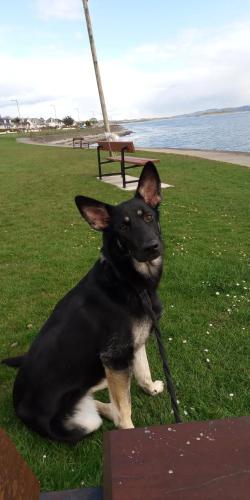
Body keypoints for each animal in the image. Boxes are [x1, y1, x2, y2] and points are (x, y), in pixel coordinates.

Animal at [3, 160, 165, 442]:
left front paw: (151, 388)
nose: (152, 247)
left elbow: (142, 371)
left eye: (148, 217)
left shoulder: (133, 346)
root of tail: (17, 407)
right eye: (123, 227)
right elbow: (125, 410)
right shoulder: (116, 358)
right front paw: (129, 433)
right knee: (106, 410)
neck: (126, 280)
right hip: (84, 422)